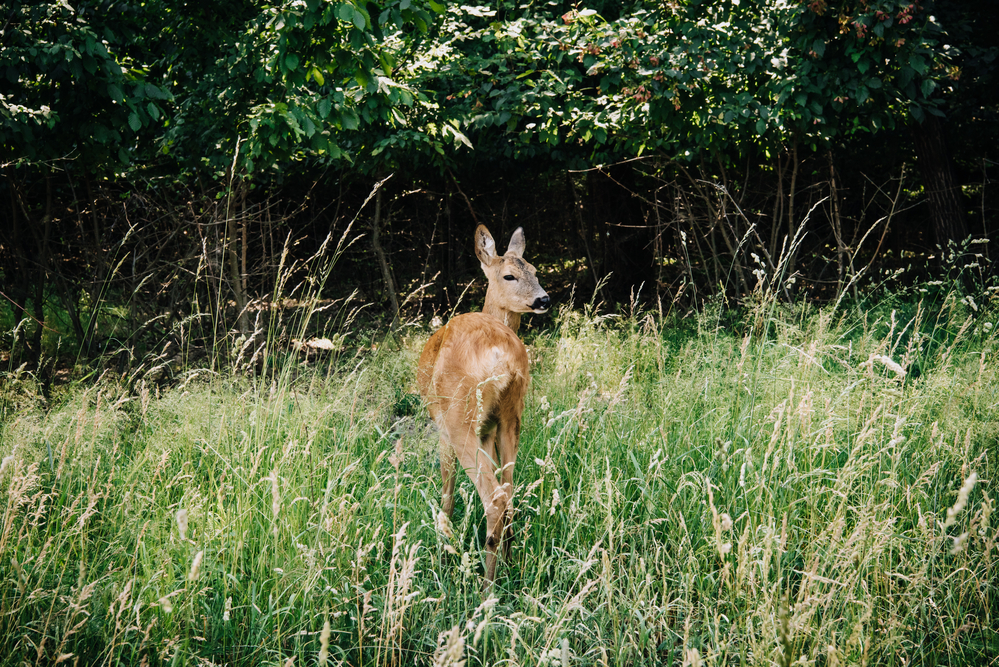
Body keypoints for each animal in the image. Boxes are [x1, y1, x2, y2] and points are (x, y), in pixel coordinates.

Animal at [417, 224, 550, 586]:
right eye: (510, 275)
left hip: (459, 413)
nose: (544, 299)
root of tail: (500, 351)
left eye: (535, 271)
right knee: (509, 491)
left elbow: (447, 491)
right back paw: (509, 560)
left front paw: (443, 544)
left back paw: (487, 584)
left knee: (494, 498)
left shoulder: (442, 427)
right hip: (512, 413)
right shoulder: (490, 427)